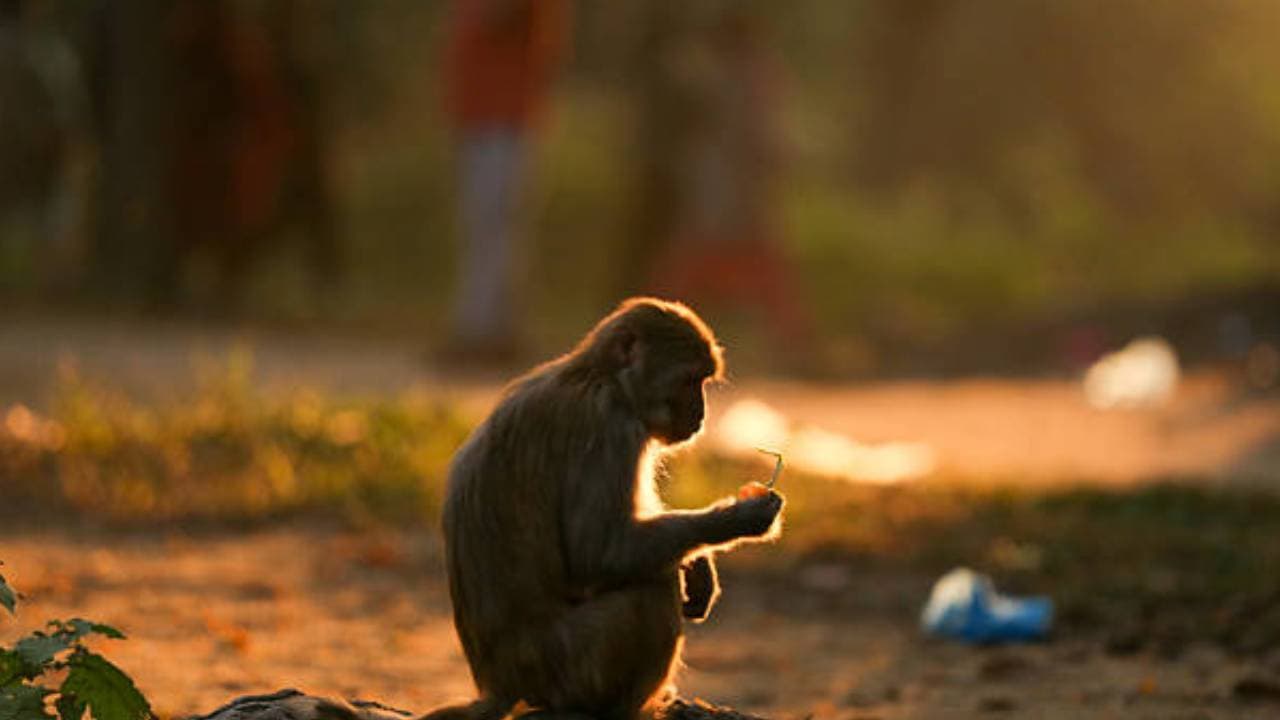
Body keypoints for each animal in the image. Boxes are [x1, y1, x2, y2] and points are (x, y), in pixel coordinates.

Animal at [422, 298, 784, 720]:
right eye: (689, 381)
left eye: (703, 381)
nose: (701, 413)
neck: (602, 378)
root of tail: (501, 685)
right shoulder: (611, 426)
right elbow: (600, 552)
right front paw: (741, 518)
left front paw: (699, 567)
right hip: (567, 670)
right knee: (651, 589)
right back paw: (630, 708)